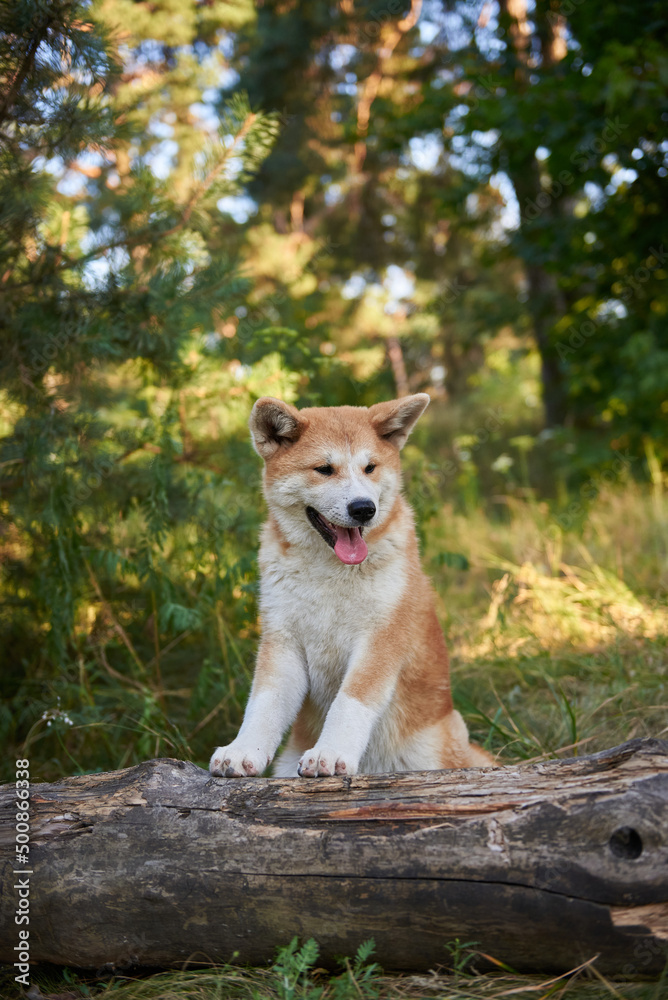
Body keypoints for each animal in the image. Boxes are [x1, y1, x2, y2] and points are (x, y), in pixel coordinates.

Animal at [210, 392, 496, 780]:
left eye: (370, 468)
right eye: (324, 469)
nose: (363, 508)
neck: (330, 573)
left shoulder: (380, 638)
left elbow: (350, 701)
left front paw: (330, 753)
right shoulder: (282, 640)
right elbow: (263, 704)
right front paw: (242, 750)